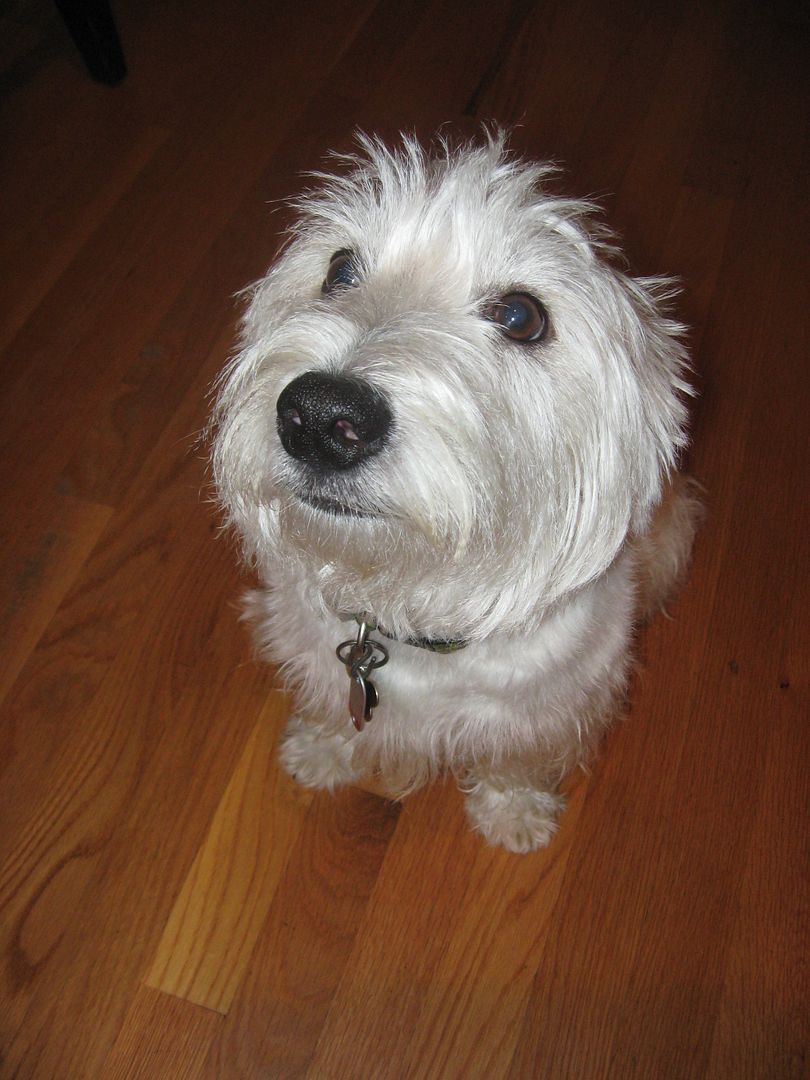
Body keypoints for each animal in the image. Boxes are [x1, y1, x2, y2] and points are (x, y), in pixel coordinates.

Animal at [212, 132, 699, 851]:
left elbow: (518, 757)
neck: (415, 614)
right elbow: (332, 709)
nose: (322, 417)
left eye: (522, 316)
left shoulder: (547, 705)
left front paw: (515, 816)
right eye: (340, 269)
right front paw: (320, 752)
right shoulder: (311, 648)